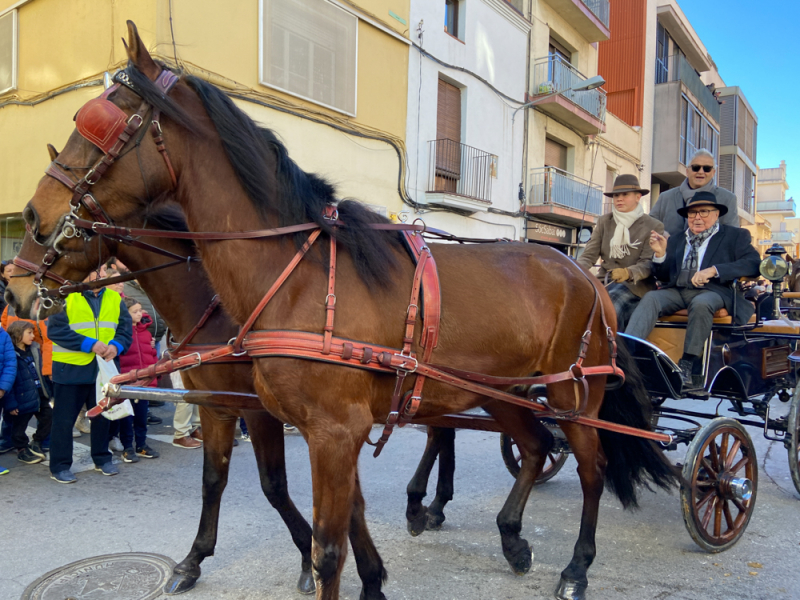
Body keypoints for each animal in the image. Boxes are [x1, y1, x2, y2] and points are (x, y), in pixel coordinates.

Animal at [9, 23, 680, 600]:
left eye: (101, 124)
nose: (32, 234)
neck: (294, 276)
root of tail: (584, 274)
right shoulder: (272, 416)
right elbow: (295, 500)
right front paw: (370, 575)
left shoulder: (323, 429)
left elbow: (324, 542)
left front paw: (318, 567)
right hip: (501, 391)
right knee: (536, 447)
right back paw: (509, 537)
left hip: (574, 396)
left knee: (591, 467)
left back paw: (576, 567)